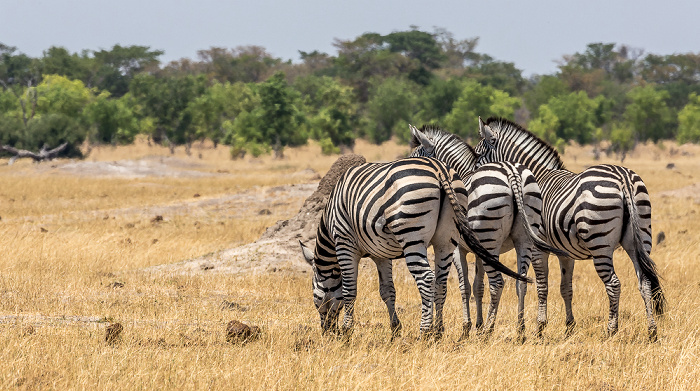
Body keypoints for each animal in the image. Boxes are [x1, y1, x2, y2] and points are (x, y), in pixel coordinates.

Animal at [298, 156, 528, 340]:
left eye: (314, 293)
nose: (327, 332)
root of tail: (439, 169)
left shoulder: (345, 243)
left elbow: (348, 290)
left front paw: (347, 331)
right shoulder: (381, 254)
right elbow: (387, 291)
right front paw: (395, 329)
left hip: (412, 235)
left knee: (426, 278)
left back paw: (424, 332)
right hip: (447, 240)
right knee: (440, 282)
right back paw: (438, 331)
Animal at [408, 125, 568, 340]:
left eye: (415, 158)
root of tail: (512, 172)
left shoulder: (458, 248)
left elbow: (464, 287)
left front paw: (466, 328)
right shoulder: (479, 251)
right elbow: (478, 286)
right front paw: (477, 324)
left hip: (490, 237)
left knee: (498, 283)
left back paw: (490, 330)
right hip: (523, 238)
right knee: (521, 282)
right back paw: (520, 330)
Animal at [474, 115, 664, 340]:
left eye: (477, 154)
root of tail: (623, 179)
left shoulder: (538, 248)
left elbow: (542, 286)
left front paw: (540, 327)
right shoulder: (566, 253)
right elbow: (566, 288)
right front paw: (569, 327)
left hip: (600, 244)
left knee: (614, 284)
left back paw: (611, 330)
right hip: (640, 239)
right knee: (645, 282)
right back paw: (651, 331)